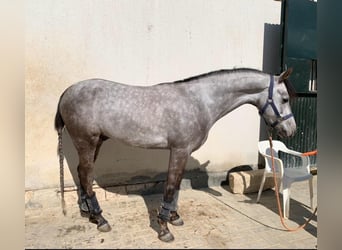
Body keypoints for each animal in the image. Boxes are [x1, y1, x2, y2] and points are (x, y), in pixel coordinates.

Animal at [54, 67, 296, 241]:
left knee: (82, 174)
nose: (291, 130)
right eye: (284, 99)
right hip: (87, 142)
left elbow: (177, 185)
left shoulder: (183, 152)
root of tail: (67, 92)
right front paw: (164, 229)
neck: (199, 102)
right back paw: (100, 219)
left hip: (94, 143)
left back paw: (88, 213)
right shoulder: (179, 150)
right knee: (86, 175)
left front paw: (174, 217)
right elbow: (170, 186)